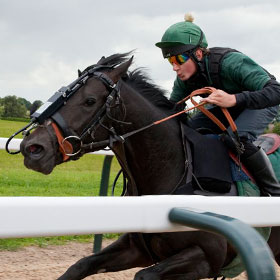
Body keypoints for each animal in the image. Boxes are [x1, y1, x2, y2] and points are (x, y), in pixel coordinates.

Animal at [19, 53, 280, 280]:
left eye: (89, 100)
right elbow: (81, 265)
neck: (178, 170)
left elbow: (145, 275)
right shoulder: (137, 248)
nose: (33, 148)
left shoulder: (207, 258)